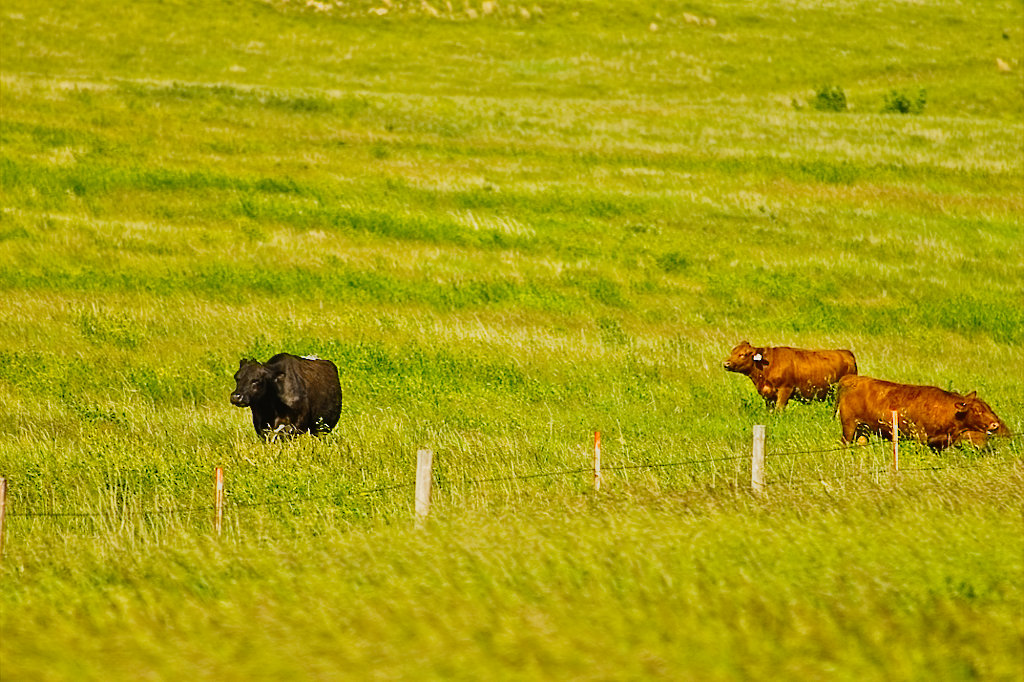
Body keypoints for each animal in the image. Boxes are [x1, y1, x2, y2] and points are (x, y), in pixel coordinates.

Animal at [723, 340, 857, 410]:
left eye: (743, 354)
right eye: (732, 352)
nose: (726, 364)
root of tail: (846, 353)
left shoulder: (785, 390)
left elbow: (779, 409)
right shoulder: (768, 395)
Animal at [836, 375, 1010, 450]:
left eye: (989, 408)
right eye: (977, 410)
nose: (995, 424)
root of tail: (852, 379)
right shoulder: (919, 436)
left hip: (863, 429)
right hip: (849, 426)